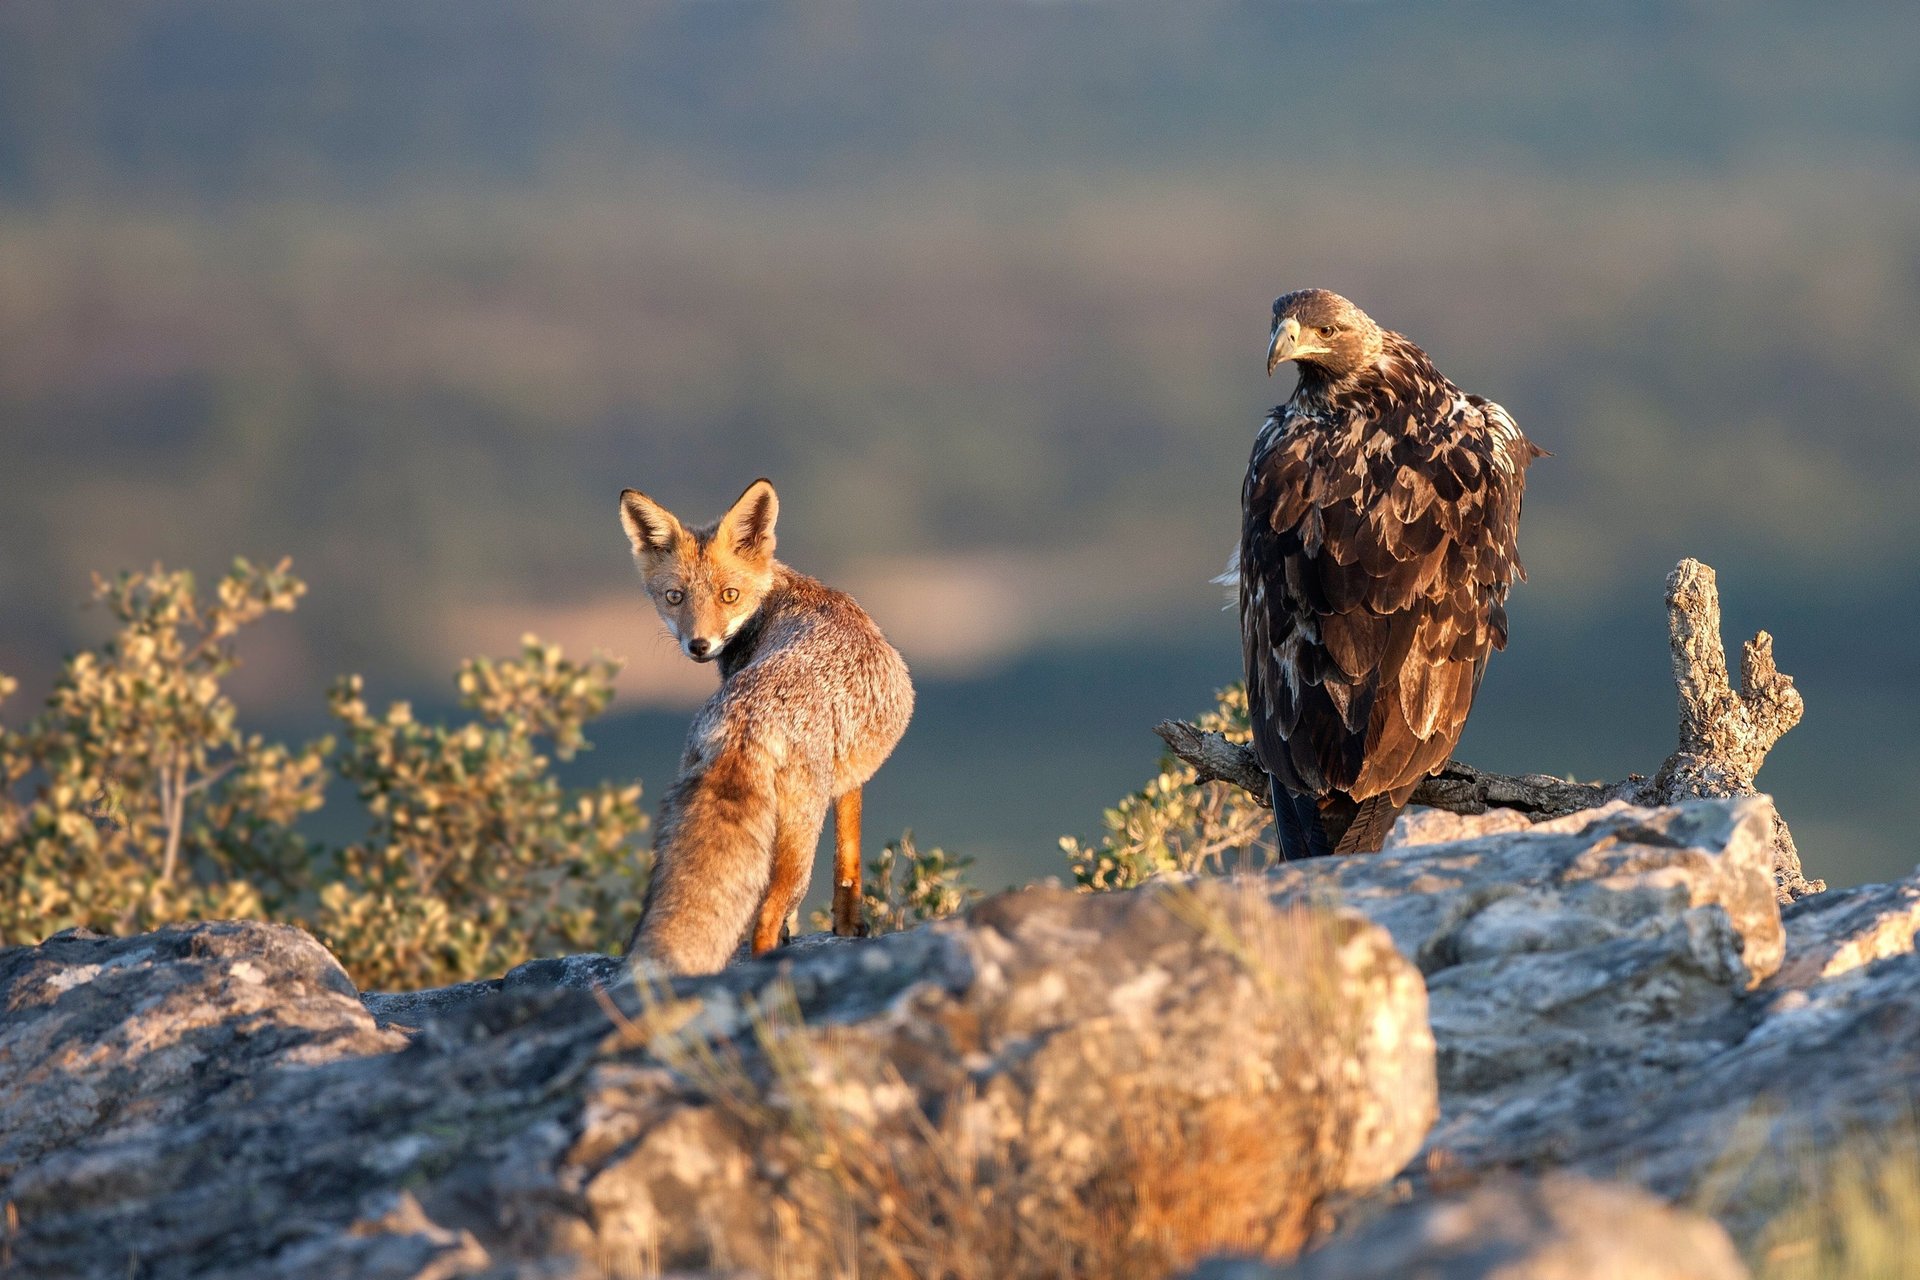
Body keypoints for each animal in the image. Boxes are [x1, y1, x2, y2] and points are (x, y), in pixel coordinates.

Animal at [618, 477, 910, 971]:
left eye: (728, 595)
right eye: (675, 597)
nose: (699, 645)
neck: (777, 596)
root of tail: (746, 724)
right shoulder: (851, 781)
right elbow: (847, 860)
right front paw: (849, 928)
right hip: (799, 839)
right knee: (769, 915)